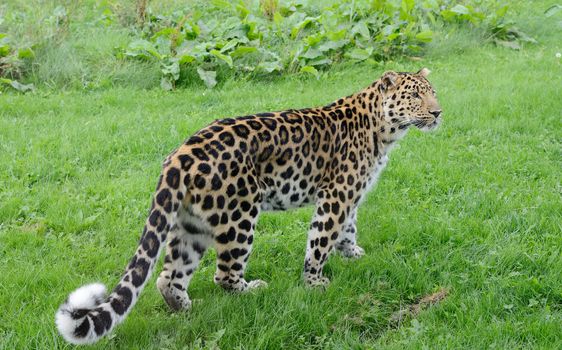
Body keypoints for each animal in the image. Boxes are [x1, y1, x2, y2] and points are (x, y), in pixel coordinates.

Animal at [57, 67, 442, 344]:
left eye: (432, 91)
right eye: (414, 95)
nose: (438, 112)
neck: (384, 130)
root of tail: (180, 155)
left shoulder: (351, 195)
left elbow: (348, 228)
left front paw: (353, 254)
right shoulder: (336, 194)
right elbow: (321, 239)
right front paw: (315, 282)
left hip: (191, 226)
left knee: (169, 276)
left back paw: (187, 309)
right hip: (239, 216)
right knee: (224, 273)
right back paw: (252, 291)